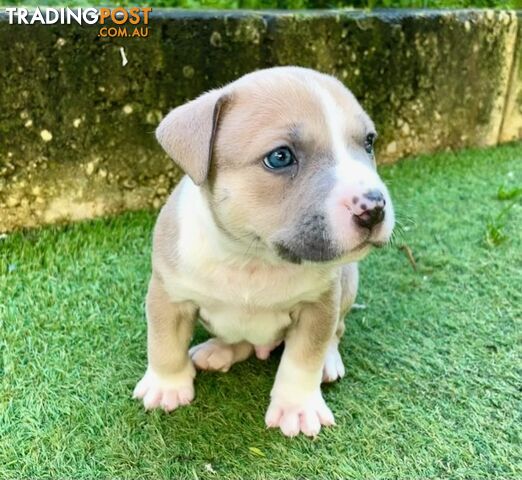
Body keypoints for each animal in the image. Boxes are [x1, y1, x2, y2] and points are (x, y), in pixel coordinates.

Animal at [132, 67, 392, 438]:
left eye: (369, 142)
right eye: (280, 157)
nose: (373, 208)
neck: (251, 257)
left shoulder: (319, 305)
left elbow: (303, 359)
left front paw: (297, 407)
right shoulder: (169, 295)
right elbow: (164, 341)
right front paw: (166, 386)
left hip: (347, 283)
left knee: (337, 331)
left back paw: (328, 360)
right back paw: (219, 351)